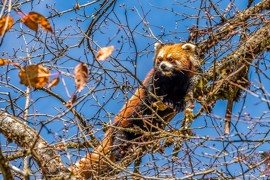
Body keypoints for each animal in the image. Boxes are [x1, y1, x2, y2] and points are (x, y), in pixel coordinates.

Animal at [75, 42, 197, 179]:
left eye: (170, 59)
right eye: (160, 59)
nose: (162, 66)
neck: (172, 79)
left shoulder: (184, 82)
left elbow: (182, 95)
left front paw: (179, 104)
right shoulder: (154, 81)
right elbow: (153, 96)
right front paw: (167, 100)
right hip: (123, 126)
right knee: (120, 140)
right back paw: (120, 153)